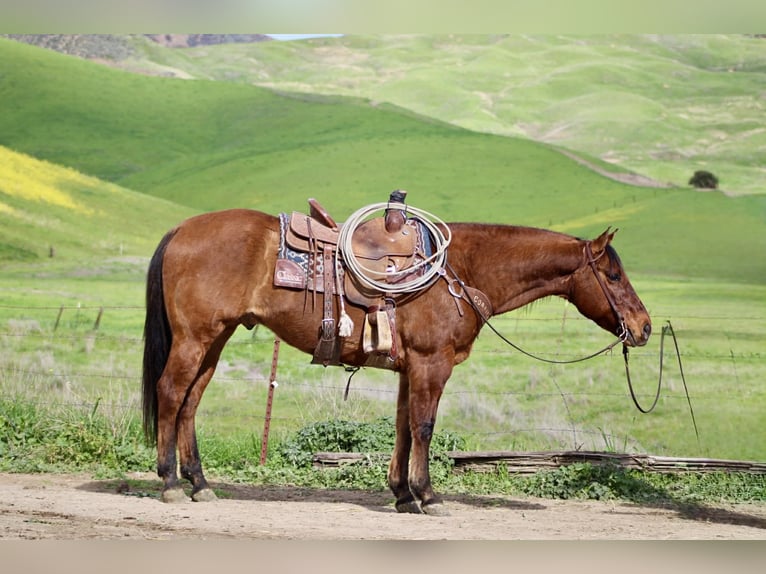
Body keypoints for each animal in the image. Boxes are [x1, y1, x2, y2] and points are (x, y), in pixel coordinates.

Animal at [142, 207, 651, 515]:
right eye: (612, 274)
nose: (644, 326)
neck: (457, 271)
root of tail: (181, 230)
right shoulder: (431, 364)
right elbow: (424, 427)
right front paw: (428, 494)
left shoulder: (411, 369)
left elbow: (405, 426)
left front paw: (403, 494)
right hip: (194, 338)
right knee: (170, 392)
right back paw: (170, 483)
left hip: (215, 340)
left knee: (190, 402)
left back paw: (200, 484)